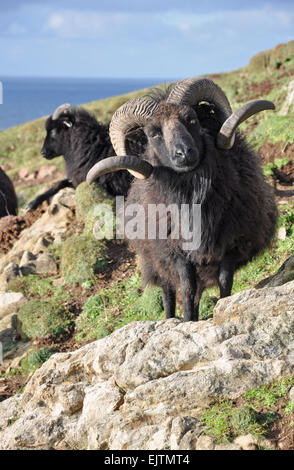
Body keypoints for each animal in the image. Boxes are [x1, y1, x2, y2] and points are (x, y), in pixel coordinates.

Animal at [86, 79, 278, 322]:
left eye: (192, 119)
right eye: (153, 133)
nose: (184, 153)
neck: (194, 195)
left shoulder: (232, 243)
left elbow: (224, 281)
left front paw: (222, 307)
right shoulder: (175, 252)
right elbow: (187, 289)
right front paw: (187, 322)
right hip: (156, 261)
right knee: (168, 291)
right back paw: (171, 319)